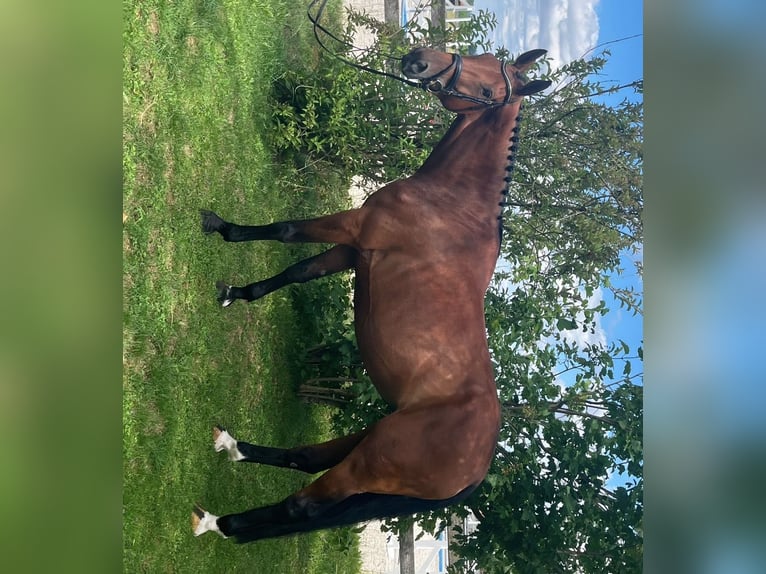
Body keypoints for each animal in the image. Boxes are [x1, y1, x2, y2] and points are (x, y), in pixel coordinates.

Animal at [193, 46, 550, 543]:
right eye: (481, 55)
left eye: (487, 89)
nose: (419, 60)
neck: (453, 205)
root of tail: (476, 474)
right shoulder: (353, 251)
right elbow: (299, 271)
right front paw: (238, 293)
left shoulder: (353, 228)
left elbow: (287, 232)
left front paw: (221, 227)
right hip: (370, 439)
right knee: (305, 457)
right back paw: (232, 448)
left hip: (368, 463)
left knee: (301, 506)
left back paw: (218, 523)